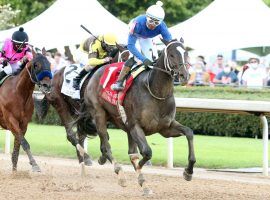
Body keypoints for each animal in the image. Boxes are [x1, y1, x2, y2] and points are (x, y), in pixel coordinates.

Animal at [79, 38, 195, 194]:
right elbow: (146, 152)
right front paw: (139, 169)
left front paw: (188, 172)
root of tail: (96, 72)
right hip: (99, 114)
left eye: (186, 53)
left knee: (114, 147)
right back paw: (120, 174)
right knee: (106, 146)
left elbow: (189, 132)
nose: (184, 75)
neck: (156, 92)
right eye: (171, 55)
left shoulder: (166, 128)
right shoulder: (135, 126)